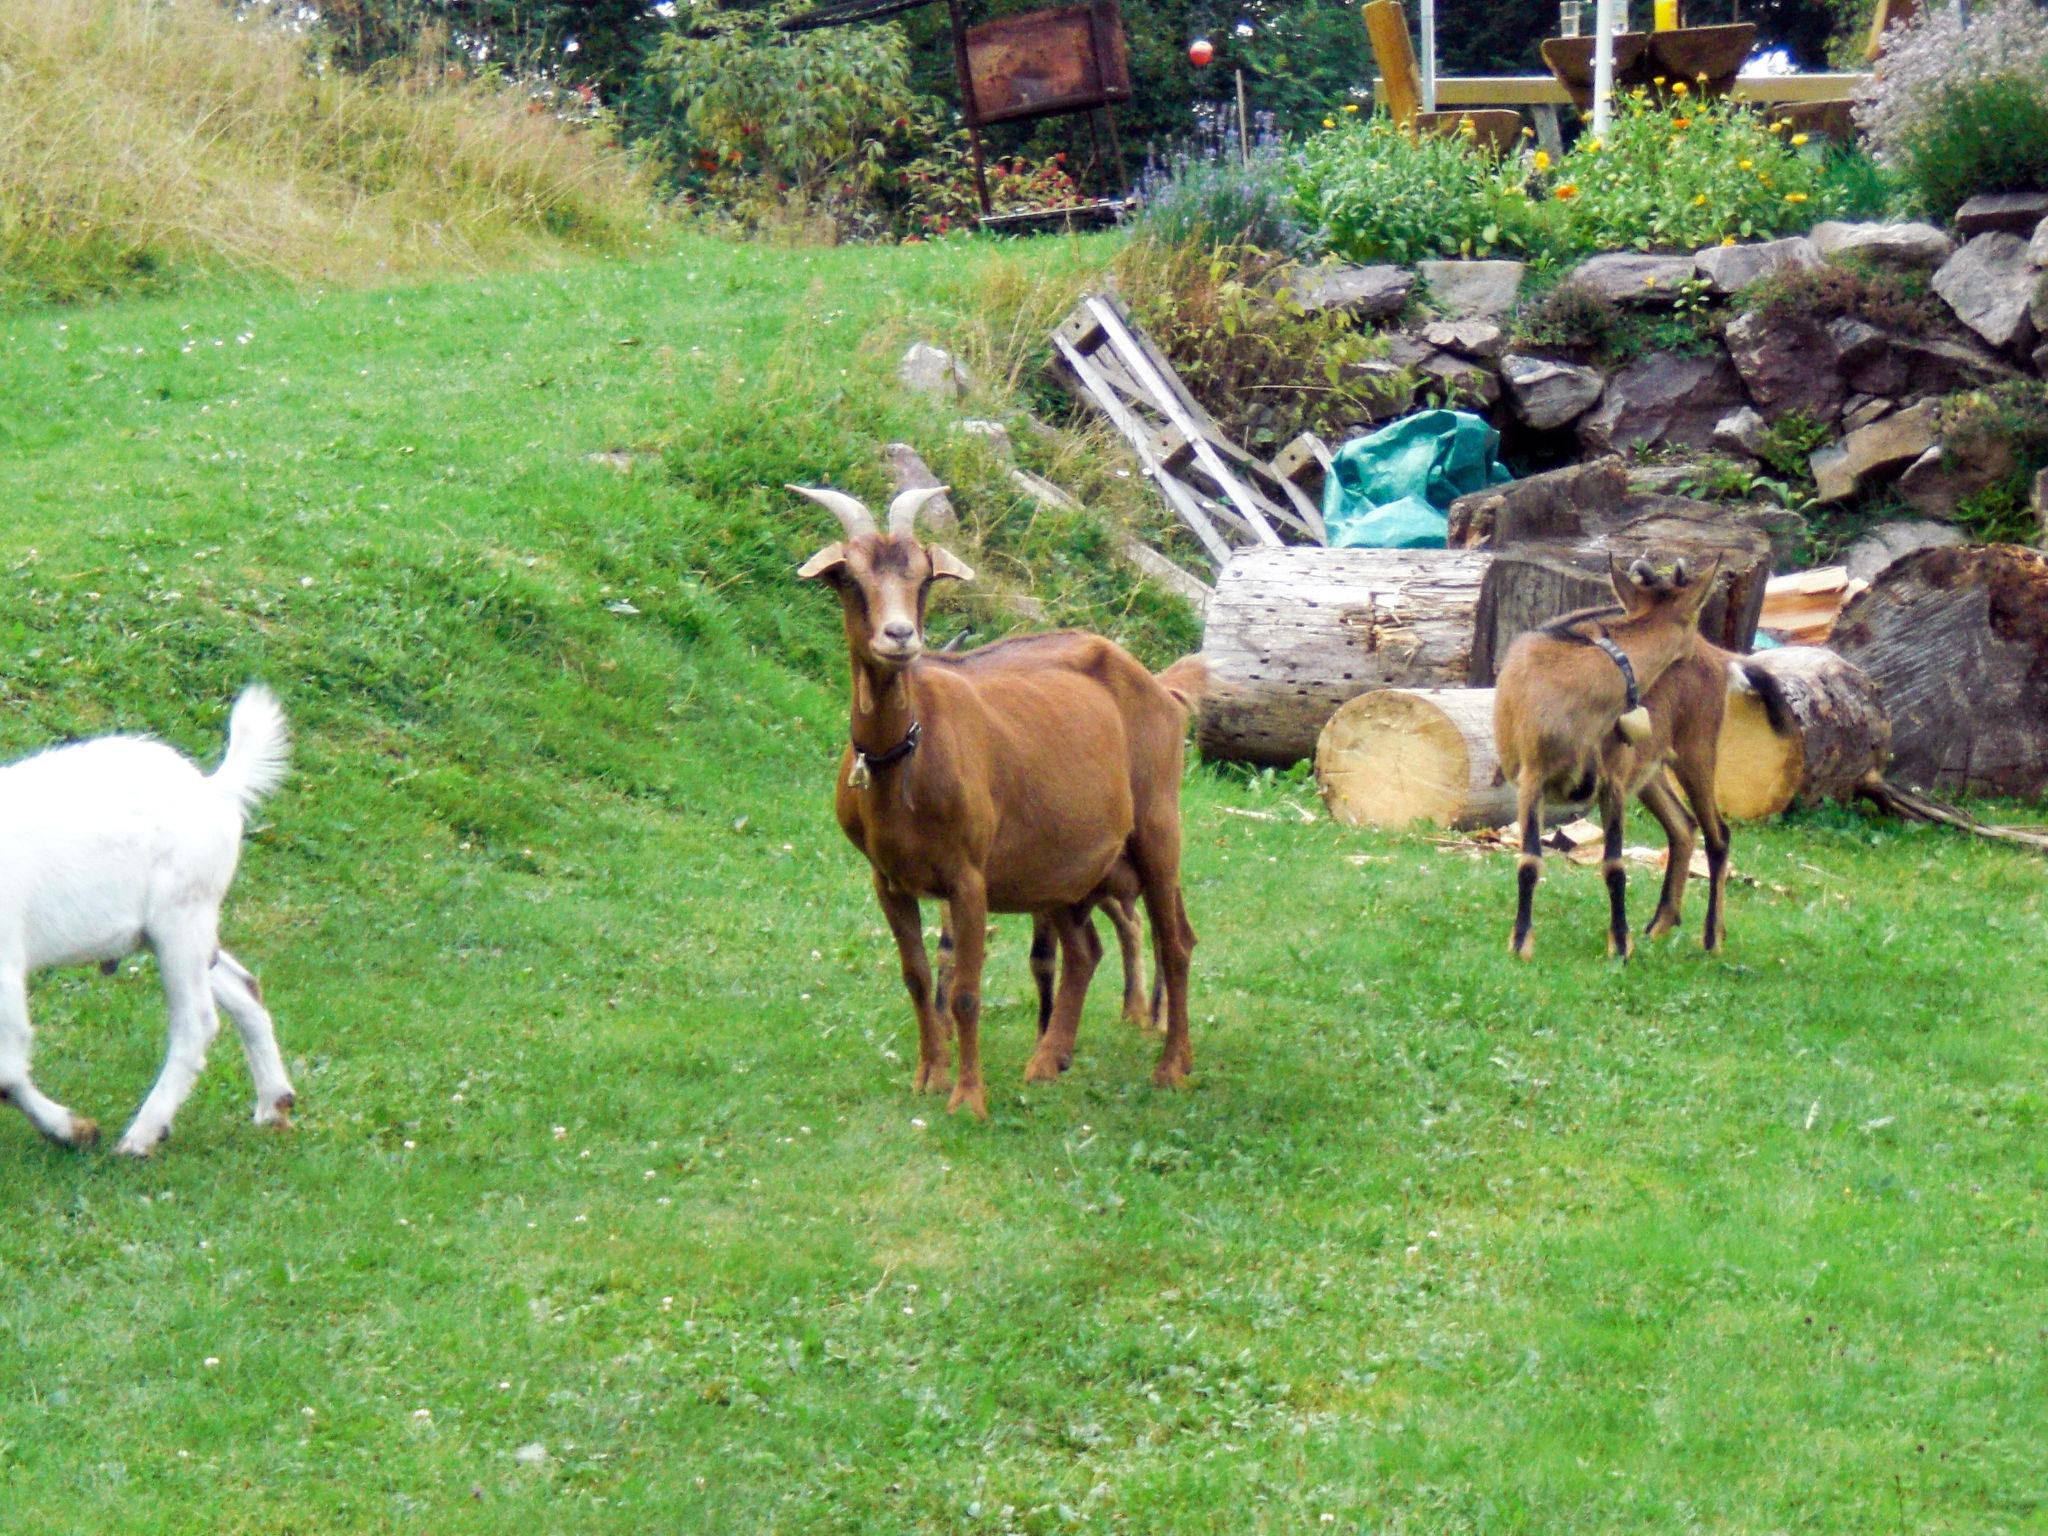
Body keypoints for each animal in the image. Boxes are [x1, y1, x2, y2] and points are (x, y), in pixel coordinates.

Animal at [0, 692, 296, 1163]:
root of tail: (214, 789)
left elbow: (6, 1073)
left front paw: (75, 1131)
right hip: (178, 932)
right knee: (244, 986)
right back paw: (274, 1104)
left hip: (180, 921)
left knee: (197, 1021)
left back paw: (141, 1137)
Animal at [786, 483, 1196, 1122]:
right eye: (850, 577)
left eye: (923, 578)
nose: (900, 637)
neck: (909, 754)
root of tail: (1164, 690)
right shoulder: (888, 880)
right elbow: (916, 975)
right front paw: (929, 1076)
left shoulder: (968, 876)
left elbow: (965, 991)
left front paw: (968, 1099)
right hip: (1061, 866)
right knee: (1084, 951)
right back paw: (1048, 1062)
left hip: (1156, 828)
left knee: (1174, 944)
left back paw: (1171, 1068)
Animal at [1499, 552, 1769, 962]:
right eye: (1694, 619)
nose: (1694, 655)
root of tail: (1722, 661)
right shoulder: (1532, 774)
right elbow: (1529, 861)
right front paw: (1520, 943)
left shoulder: (1612, 779)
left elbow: (1614, 865)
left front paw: (1620, 945)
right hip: (1650, 770)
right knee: (1684, 825)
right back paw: (1660, 925)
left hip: (1696, 748)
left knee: (1718, 834)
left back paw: (1711, 938)